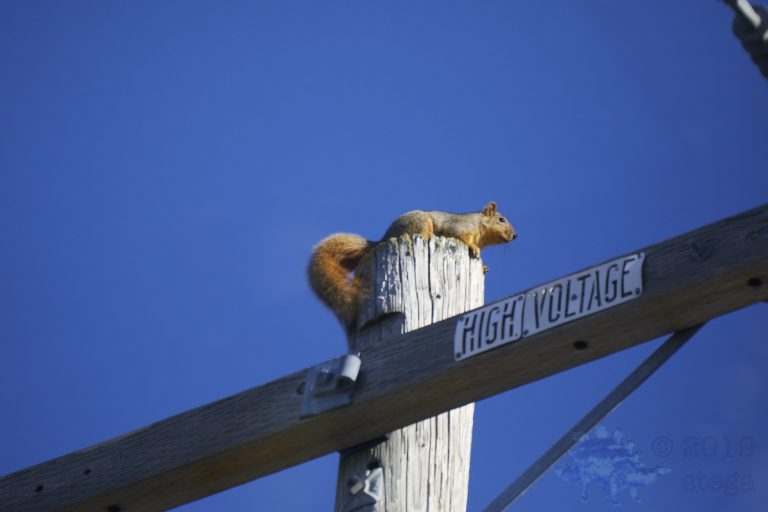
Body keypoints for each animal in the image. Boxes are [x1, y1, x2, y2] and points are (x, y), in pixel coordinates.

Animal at [308, 201, 517, 336]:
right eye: (501, 220)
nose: (515, 236)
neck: (480, 228)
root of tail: (382, 240)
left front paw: (484, 267)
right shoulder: (459, 228)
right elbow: (461, 237)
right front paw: (474, 248)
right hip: (421, 223)